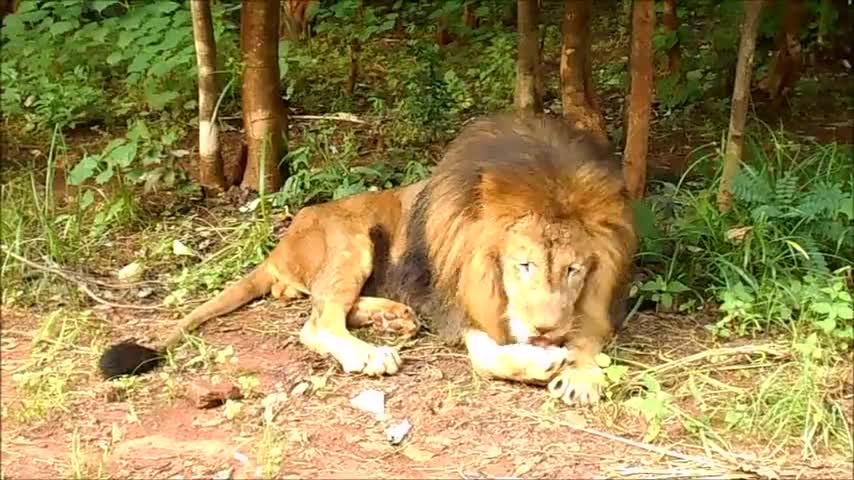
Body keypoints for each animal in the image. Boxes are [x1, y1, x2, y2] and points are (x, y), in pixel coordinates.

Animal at [98, 112, 636, 404]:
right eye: (523, 265)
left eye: (574, 269)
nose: (545, 330)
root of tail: (281, 245)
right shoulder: (452, 303)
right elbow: (486, 355)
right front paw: (541, 362)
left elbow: (587, 335)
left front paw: (579, 373)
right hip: (350, 239)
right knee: (318, 321)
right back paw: (370, 353)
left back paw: (394, 318)